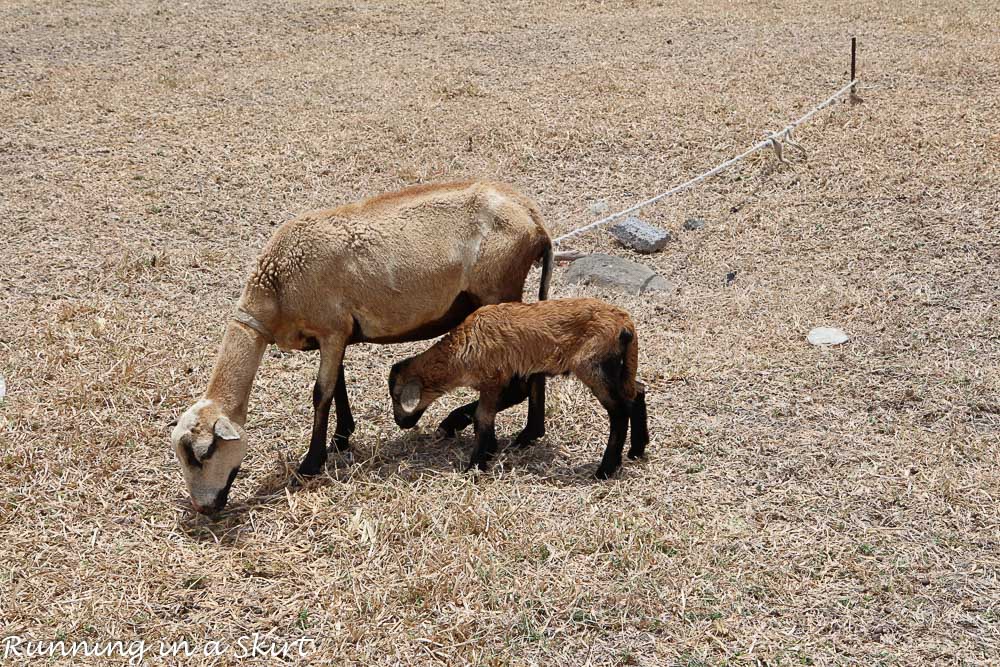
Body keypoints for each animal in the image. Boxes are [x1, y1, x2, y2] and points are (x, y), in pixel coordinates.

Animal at [168, 180, 552, 516]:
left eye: (204, 453)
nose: (203, 509)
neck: (276, 287)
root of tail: (533, 217)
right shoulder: (336, 334)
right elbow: (337, 384)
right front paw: (341, 438)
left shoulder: (332, 328)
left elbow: (320, 393)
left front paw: (311, 463)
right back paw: (527, 433)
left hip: (497, 290)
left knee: (514, 381)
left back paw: (461, 424)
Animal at [382, 298, 648, 480]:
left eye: (396, 396)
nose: (401, 423)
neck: (459, 351)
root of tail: (625, 324)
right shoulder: (506, 377)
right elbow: (485, 414)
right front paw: (487, 450)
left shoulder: (493, 377)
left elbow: (483, 416)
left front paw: (475, 465)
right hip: (618, 368)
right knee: (636, 393)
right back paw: (636, 449)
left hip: (594, 365)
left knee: (619, 411)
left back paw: (606, 469)